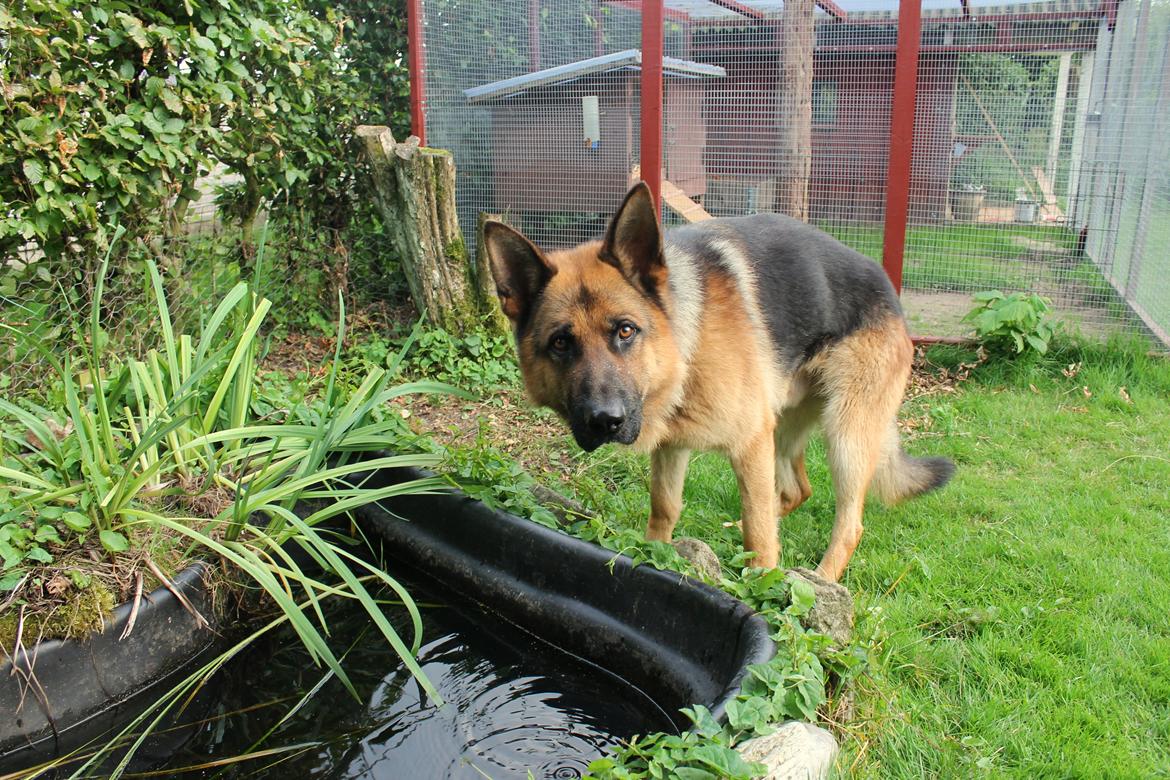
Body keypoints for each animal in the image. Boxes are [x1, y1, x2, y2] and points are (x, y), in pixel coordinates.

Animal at [482, 183, 950, 580]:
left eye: (626, 331)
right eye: (561, 343)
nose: (605, 421)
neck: (682, 353)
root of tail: (887, 285)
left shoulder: (749, 445)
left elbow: (760, 534)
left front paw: (762, 589)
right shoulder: (673, 446)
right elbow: (664, 509)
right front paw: (652, 555)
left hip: (845, 437)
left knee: (847, 523)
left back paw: (818, 580)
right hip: (783, 426)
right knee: (797, 490)